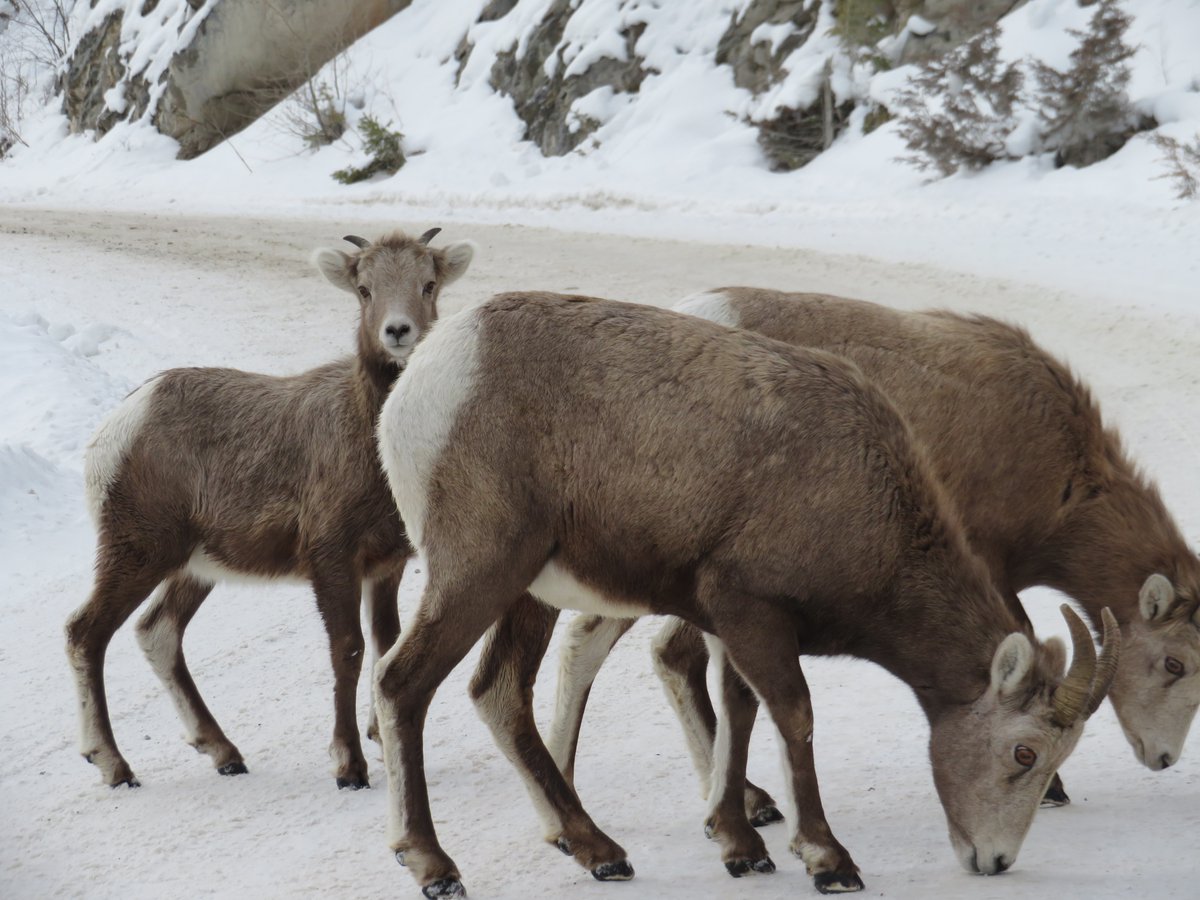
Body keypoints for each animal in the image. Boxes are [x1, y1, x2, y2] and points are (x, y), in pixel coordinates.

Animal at [65, 227, 474, 790]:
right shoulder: (331, 557)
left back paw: (224, 753)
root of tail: (112, 430)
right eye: (364, 289)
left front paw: (378, 740)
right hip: (136, 549)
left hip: (194, 565)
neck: (372, 444)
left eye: (428, 284)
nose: (398, 331)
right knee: (85, 632)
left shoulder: (385, 564)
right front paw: (349, 767)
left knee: (157, 631)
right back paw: (114, 765)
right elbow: (347, 649)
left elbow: (384, 643)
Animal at [372, 293, 1119, 897]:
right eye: (1024, 753)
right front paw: (828, 861)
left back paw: (599, 852)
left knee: (498, 691)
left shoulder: (732, 625)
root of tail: (423, 383)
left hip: (527, 592)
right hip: (480, 572)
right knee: (402, 684)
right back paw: (435, 867)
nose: (993, 860)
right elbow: (793, 714)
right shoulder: (752, 613)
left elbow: (738, 713)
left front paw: (741, 846)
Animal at [548, 286, 1200, 817]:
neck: (1061, 480)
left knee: (599, 642)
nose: (1164, 758)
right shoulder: (984, 570)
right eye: (1175, 664)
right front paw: (1052, 789)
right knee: (664, 654)